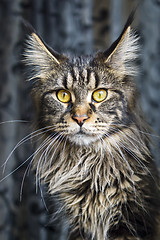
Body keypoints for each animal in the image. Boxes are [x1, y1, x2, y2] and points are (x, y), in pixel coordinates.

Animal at [23, 12, 160, 240]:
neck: (88, 165)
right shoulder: (77, 227)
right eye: (63, 95)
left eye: (99, 94)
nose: (80, 118)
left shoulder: (133, 219)